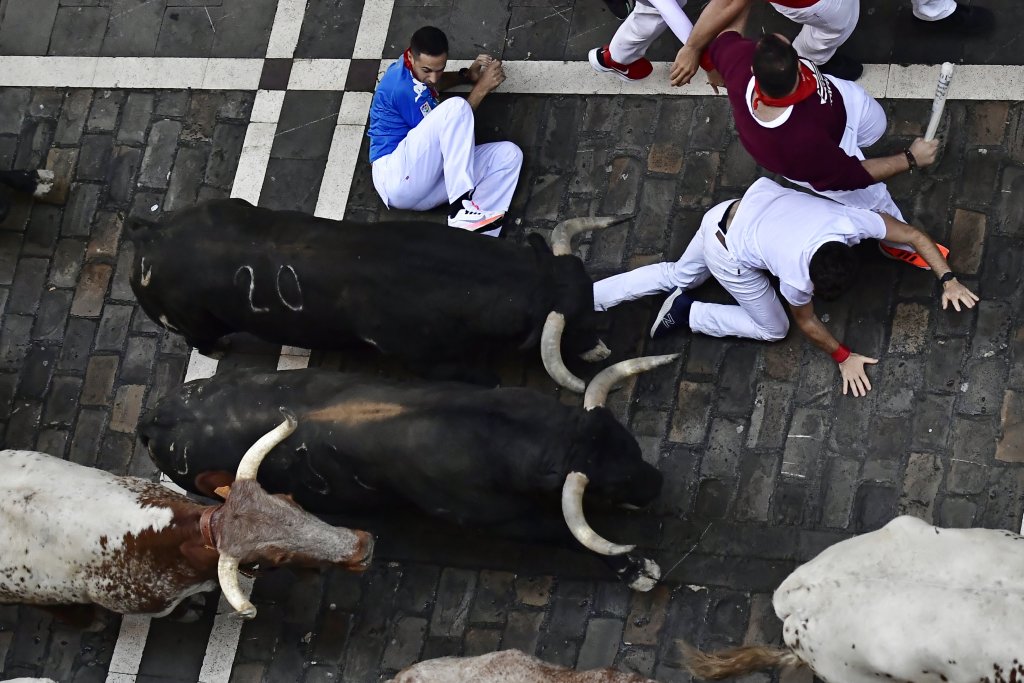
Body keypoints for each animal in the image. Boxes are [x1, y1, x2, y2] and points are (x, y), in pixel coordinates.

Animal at [128, 198, 625, 392]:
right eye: (573, 327)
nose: (603, 349)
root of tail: (150, 234)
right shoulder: (434, 363)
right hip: (194, 324)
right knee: (203, 340)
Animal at [138, 356, 677, 591]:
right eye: (609, 483)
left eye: (631, 444)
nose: (657, 486)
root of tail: (155, 418)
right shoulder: (498, 518)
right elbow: (564, 533)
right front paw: (636, 570)